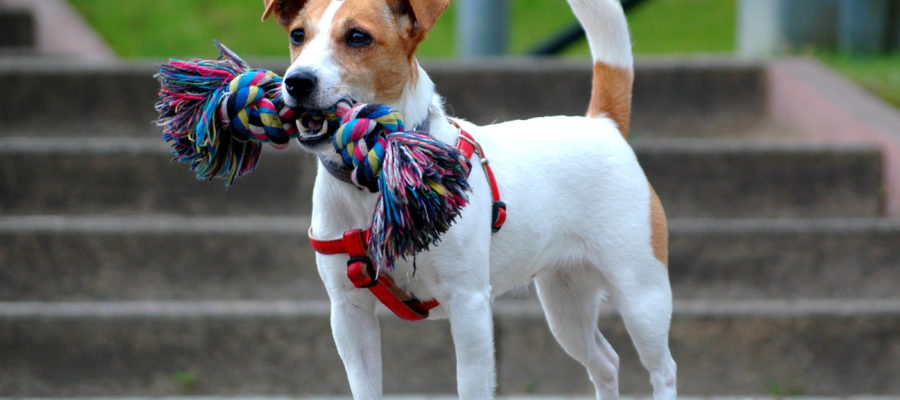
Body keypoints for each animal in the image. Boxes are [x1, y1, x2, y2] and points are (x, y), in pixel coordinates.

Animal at [260, 0, 676, 398]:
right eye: (297, 35)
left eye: (358, 37)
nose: (296, 81)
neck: (378, 173)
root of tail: (601, 123)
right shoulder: (349, 312)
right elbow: (364, 385)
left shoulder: (469, 305)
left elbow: (471, 383)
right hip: (566, 302)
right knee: (605, 363)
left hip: (641, 294)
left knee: (662, 369)